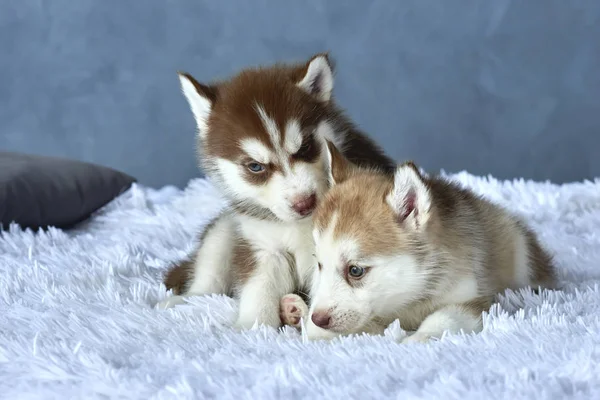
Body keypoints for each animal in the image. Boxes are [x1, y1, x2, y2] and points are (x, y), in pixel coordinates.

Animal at [157, 54, 396, 332]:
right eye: (255, 166)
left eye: (305, 147)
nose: (304, 203)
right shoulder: (264, 247)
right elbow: (258, 289)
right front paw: (252, 327)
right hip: (224, 229)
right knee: (208, 280)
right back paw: (186, 300)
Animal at [284, 142, 556, 342]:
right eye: (319, 264)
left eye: (355, 270)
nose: (318, 318)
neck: (407, 298)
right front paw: (308, 320)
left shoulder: (472, 299)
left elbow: (445, 317)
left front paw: (418, 338)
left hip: (518, 249)